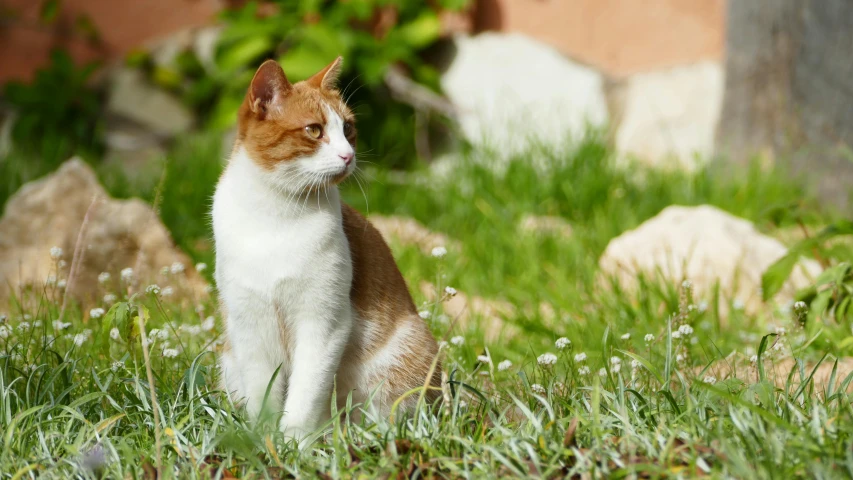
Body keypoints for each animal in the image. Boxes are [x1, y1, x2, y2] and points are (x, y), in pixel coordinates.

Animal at [211, 56, 440, 438]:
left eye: (347, 128)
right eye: (314, 130)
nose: (348, 155)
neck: (275, 218)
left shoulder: (324, 322)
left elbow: (305, 395)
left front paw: (294, 443)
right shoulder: (249, 323)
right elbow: (262, 395)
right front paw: (263, 440)